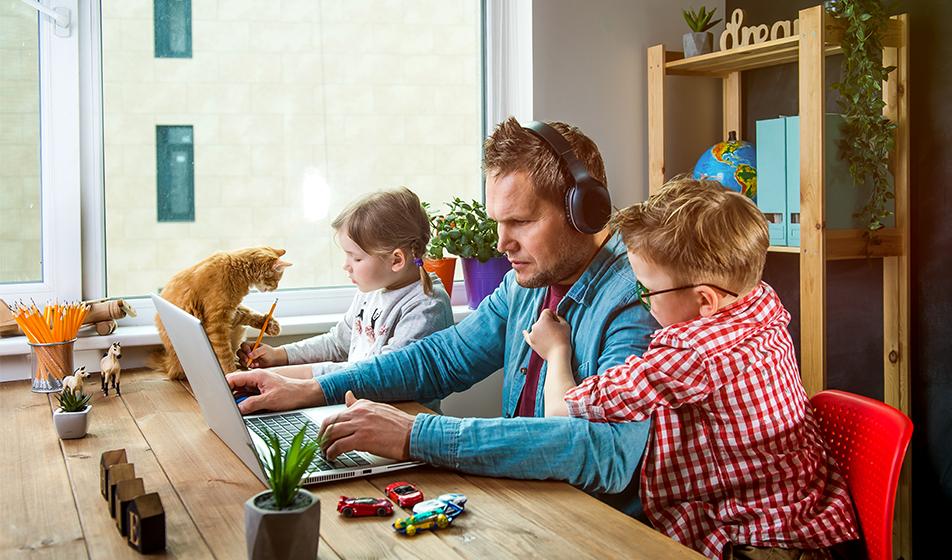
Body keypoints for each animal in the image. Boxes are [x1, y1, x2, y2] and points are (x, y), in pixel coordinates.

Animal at [153, 246, 290, 380]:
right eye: (277, 279)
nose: (276, 287)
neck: (237, 270)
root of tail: (169, 364)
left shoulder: (232, 312)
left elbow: (250, 314)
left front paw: (271, 325)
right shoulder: (217, 322)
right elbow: (224, 354)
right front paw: (232, 372)